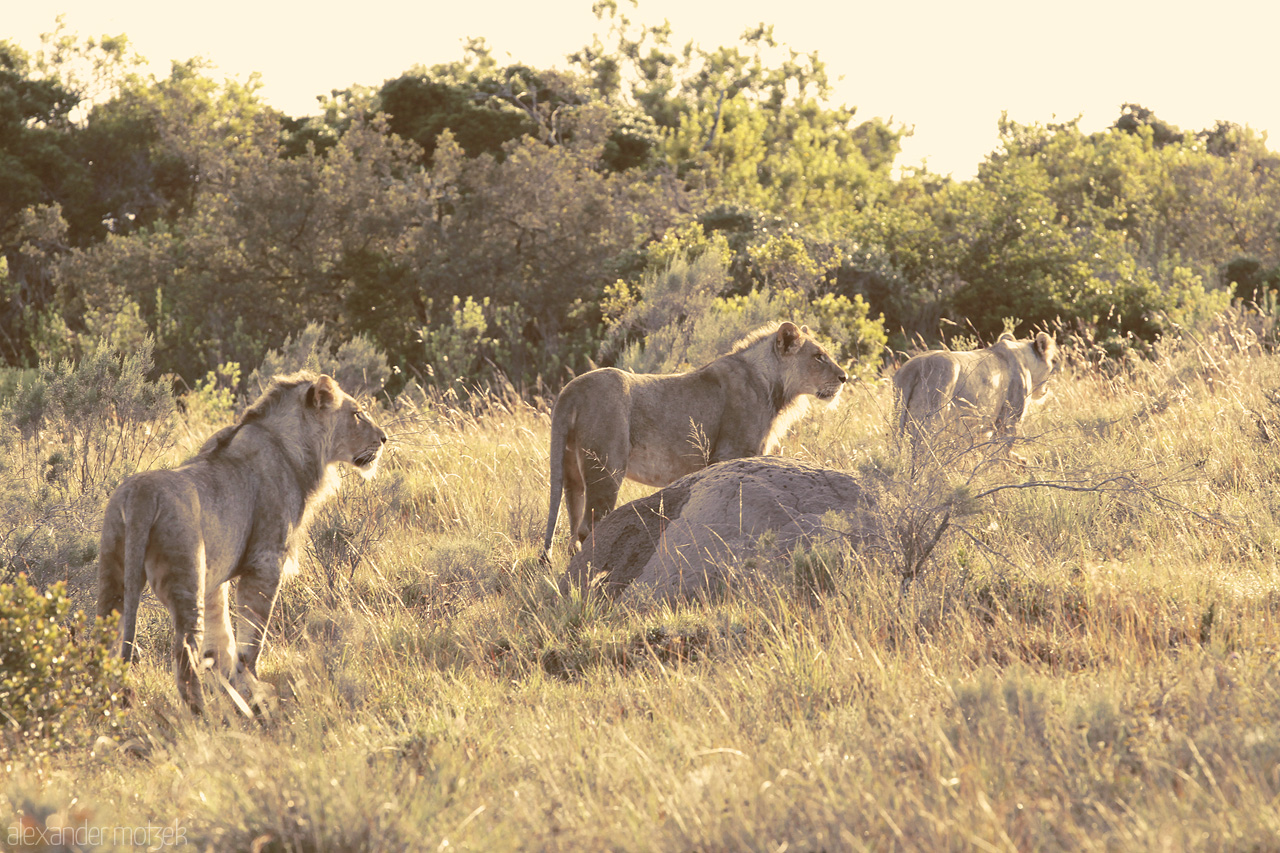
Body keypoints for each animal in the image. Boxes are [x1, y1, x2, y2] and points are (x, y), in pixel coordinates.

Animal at [97, 372, 387, 714]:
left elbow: (220, 634)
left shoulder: (215, 577)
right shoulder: (265, 563)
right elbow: (252, 637)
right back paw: (201, 715)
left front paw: (227, 683)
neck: (297, 450)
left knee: (104, 637)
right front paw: (253, 688)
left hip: (113, 573)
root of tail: (141, 495)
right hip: (185, 577)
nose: (384, 438)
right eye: (357, 414)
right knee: (183, 652)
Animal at [542, 321, 848, 558]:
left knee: (573, 529)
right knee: (588, 527)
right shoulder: (730, 453)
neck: (772, 384)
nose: (845, 377)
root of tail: (570, 390)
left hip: (572, 475)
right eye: (818, 356)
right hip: (606, 469)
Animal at [892, 331, 1059, 455]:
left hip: (899, 416)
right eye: (1053, 361)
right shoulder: (1010, 418)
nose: (1045, 390)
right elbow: (1001, 451)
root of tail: (912, 368)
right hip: (933, 416)